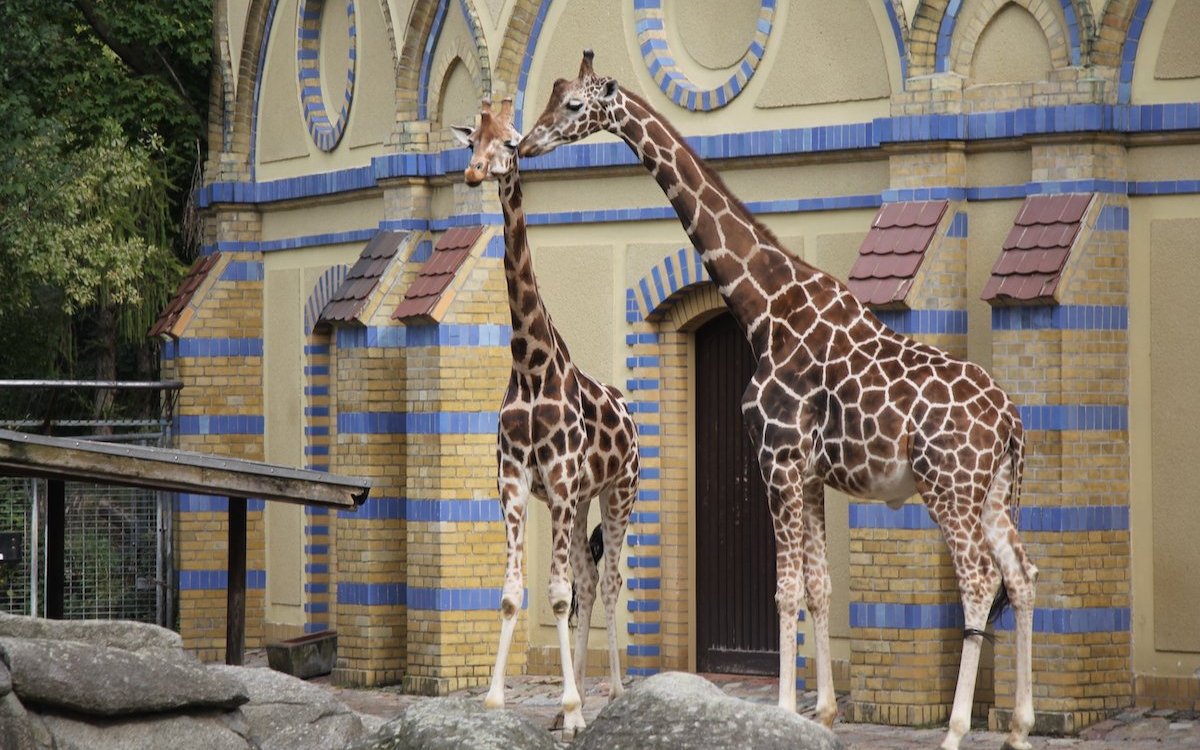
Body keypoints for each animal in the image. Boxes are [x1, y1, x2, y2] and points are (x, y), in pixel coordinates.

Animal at [451, 97, 638, 729]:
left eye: (509, 142)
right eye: (471, 142)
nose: (474, 173)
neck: (531, 367)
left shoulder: (557, 480)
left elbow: (556, 594)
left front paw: (577, 708)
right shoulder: (513, 481)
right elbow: (516, 592)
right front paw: (496, 699)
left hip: (618, 493)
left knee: (610, 581)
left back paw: (615, 694)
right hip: (579, 503)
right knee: (586, 578)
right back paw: (567, 701)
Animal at [523, 54, 1041, 748]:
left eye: (575, 105)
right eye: (553, 97)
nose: (526, 144)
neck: (764, 309)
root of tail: (1010, 419)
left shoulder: (778, 460)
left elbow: (786, 591)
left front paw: (787, 711)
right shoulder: (812, 474)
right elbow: (819, 588)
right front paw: (821, 715)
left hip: (948, 488)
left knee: (981, 581)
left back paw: (957, 730)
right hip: (992, 491)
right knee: (1022, 576)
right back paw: (1020, 727)